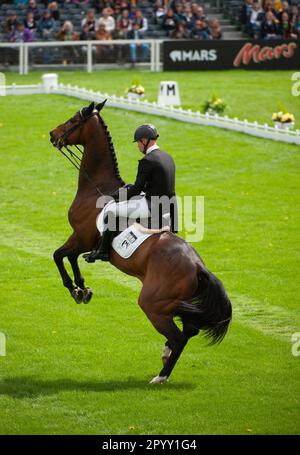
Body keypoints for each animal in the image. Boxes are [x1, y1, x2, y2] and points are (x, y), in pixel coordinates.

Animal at [49, 100, 232, 384]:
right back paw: (165, 358)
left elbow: (59, 255)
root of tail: (197, 266)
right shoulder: (82, 240)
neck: (97, 188)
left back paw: (161, 375)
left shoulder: (80, 237)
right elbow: (70, 257)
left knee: (178, 337)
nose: (52, 134)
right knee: (189, 330)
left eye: (73, 120)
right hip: (177, 304)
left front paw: (76, 289)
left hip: (153, 304)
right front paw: (83, 289)